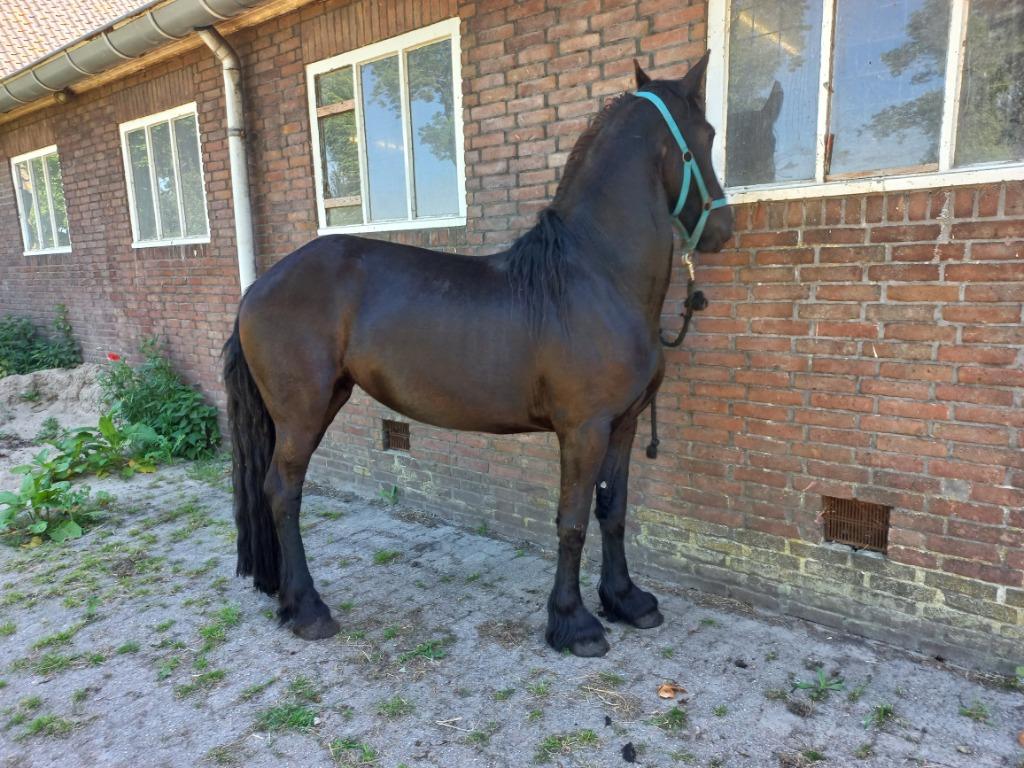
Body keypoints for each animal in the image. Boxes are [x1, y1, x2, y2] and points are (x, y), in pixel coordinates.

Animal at [222, 52, 733, 657]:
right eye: (707, 134)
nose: (723, 230)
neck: (597, 276)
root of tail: (259, 287)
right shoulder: (583, 430)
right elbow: (572, 522)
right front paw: (574, 623)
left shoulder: (624, 425)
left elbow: (613, 511)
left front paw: (628, 601)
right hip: (302, 413)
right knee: (283, 492)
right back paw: (308, 609)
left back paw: (285, 597)